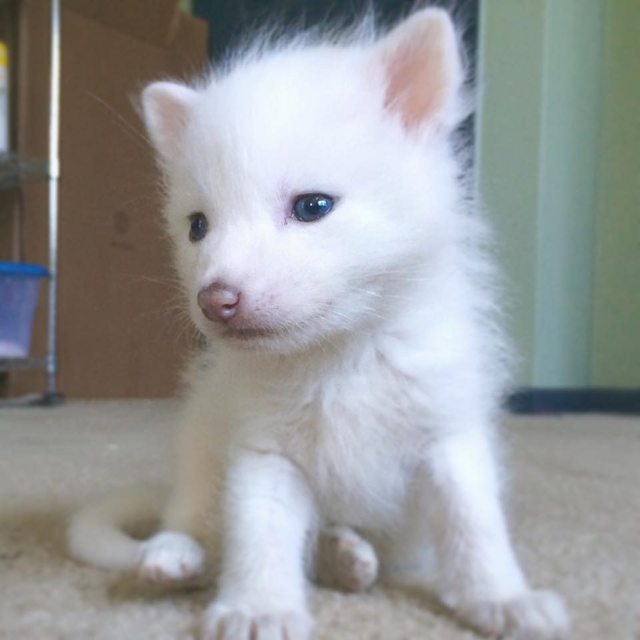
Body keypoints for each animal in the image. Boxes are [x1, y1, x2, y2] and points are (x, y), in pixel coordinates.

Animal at [69, 8, 570, 640]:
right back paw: (172, 552)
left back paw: (344, 555)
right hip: (201, 447)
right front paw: (259, 605)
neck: (342, 354)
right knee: (194, 521)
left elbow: (473, 526)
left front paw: (502, 598)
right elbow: (260, 533)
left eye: (312, 207)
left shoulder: (447, 432)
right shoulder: (263, 452)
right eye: (198, 226)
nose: (215, 299)